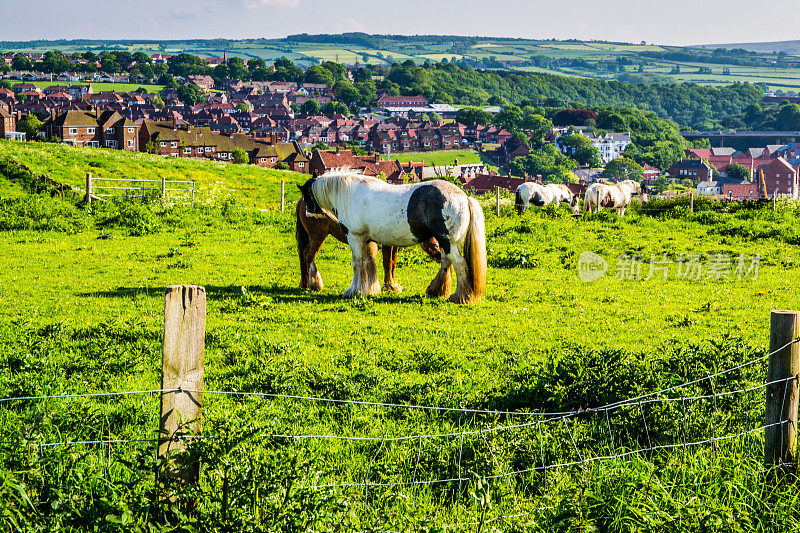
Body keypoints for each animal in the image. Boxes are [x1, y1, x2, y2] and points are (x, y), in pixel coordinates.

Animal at [296, 197, 446, 294]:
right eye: (436, 245)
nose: (440, 257)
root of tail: (302, 201)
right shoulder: (387, 244)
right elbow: (387, 263)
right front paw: (390, 286)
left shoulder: (394, 245)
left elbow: (393, 263)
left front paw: (393, 284)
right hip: (318, 236)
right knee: (308, 255)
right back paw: (314, 284)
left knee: (303, 256)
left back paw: (305, 284)